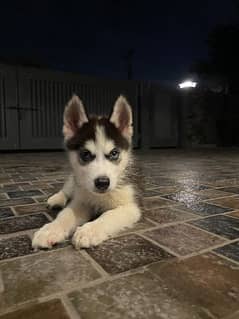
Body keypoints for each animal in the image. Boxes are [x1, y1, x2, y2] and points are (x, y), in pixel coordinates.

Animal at [32, 94, 141, 249]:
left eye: (114, 153)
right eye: (85, 154)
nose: (102, 182)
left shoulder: (130, 206)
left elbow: (109, 215)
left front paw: (90, 230)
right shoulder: (81, 201)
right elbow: (66, 214)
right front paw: (50, 230)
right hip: (76, 179)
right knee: (67, 189)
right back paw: (57, 198)